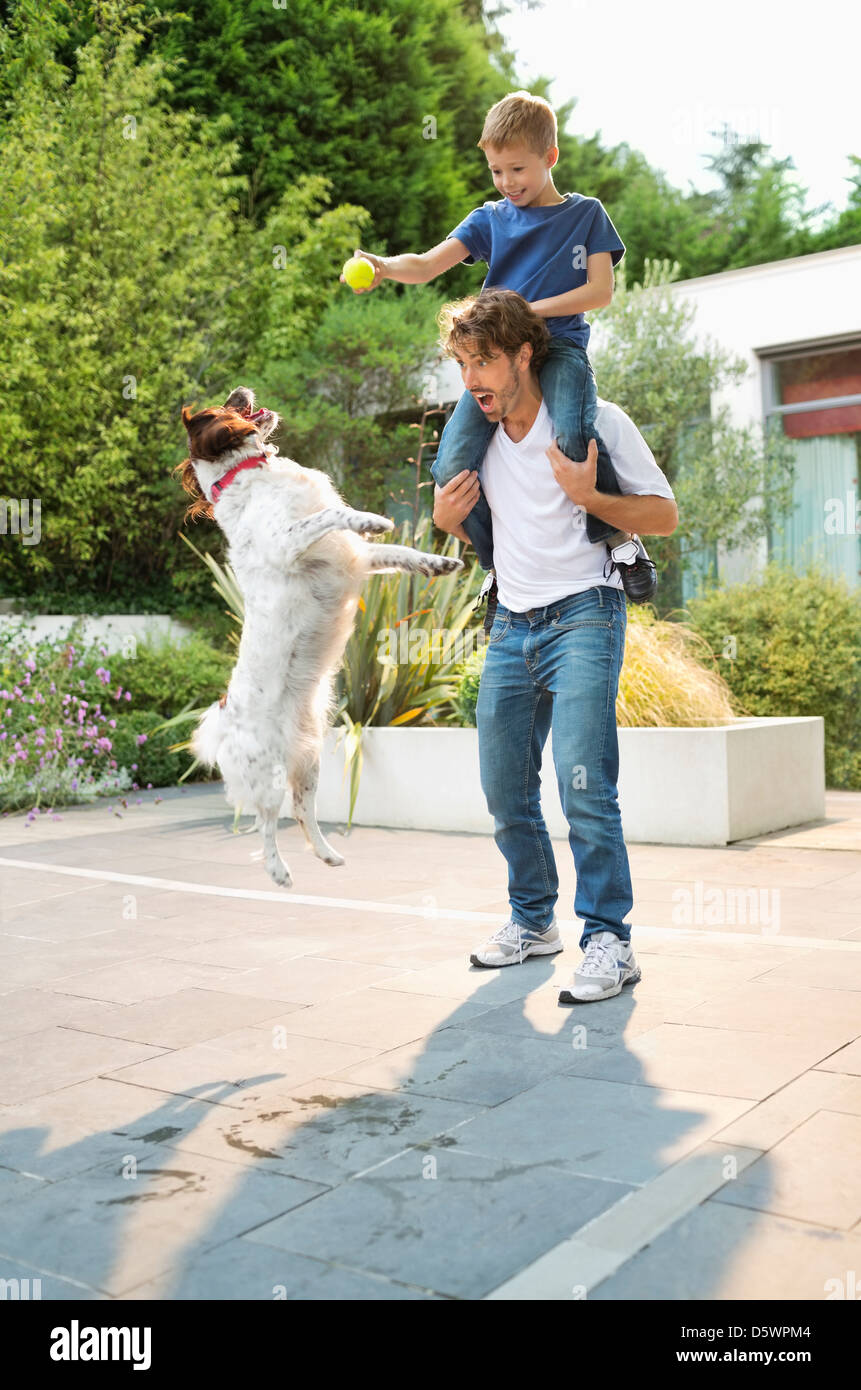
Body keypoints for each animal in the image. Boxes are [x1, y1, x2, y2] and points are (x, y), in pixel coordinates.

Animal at [174, 389, 464, 889]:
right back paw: (278, 872)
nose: (245, 391)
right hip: (267, 772)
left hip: (310, 761)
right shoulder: (289, 543)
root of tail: (223, 716)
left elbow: (400, 552)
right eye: (224, 405)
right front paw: (371, 518)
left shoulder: (354, 557)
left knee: (301, 811)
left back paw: (328, 854)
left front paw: (436, 562)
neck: (248, 474)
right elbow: (333, 512)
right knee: (265, 822)